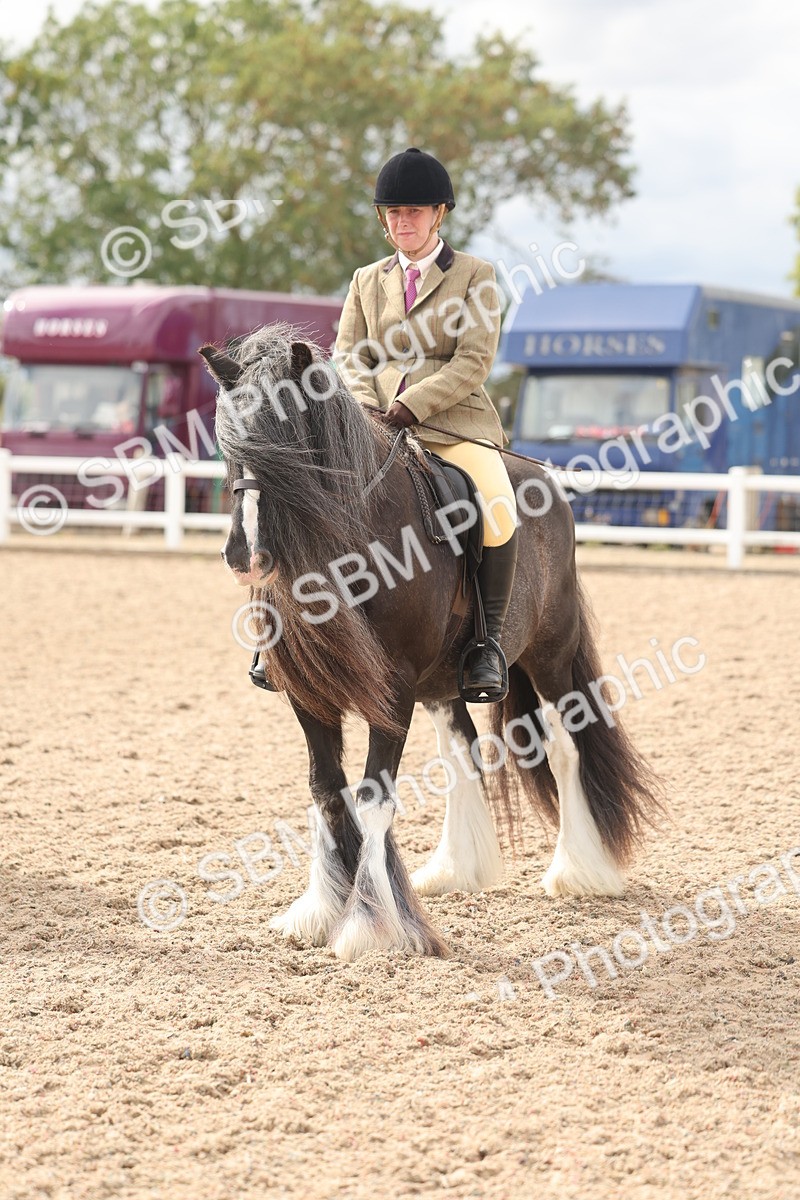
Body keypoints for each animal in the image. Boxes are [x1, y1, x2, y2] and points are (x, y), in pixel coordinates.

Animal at [199, 325, 663, 962]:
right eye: (228, 442)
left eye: (291, 444)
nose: (245, 555)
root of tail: (547, 483)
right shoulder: (309, 693)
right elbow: (326, 789)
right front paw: (319, 911)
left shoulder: (392, 692)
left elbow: (373, 797)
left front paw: (369, 927)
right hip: (445, 680)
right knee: (461, 749)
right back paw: (454, 870)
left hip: (549, 658)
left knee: (567, 747)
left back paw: (578, 872)